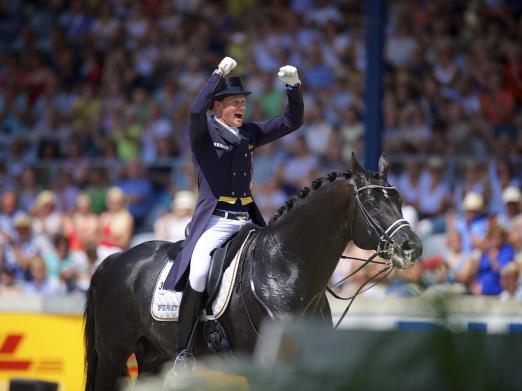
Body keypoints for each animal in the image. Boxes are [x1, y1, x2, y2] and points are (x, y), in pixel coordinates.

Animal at [83, 155, 420, 390]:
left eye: (399, 199)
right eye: (371, 203)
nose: (411, 247)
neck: (285, 269)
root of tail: (118, 259)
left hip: (153, 356)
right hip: (113, 355)